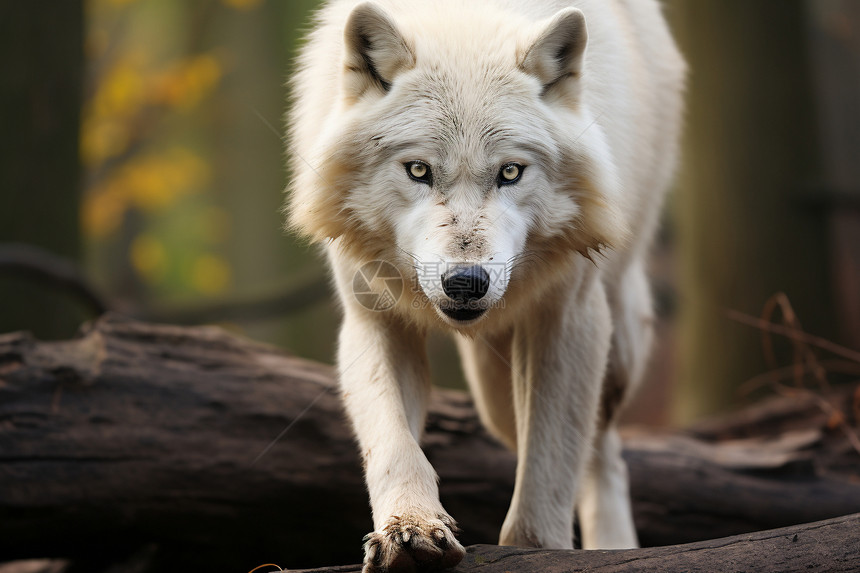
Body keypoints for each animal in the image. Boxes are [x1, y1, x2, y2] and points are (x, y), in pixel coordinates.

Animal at [288, 1, 684, 568]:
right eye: (418, 170)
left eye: (511, 172)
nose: (466, 283)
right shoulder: (373, 320)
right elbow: (394, 444)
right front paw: (409, 530)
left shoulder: (570, 316)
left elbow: (548, 471)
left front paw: (535, 551)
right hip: (493, 388)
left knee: (602, 451)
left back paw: (612, 546)